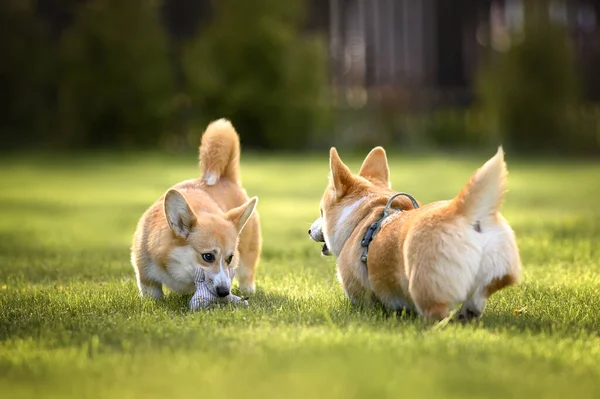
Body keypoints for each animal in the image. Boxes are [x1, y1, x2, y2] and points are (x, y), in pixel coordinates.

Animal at [130, 119, 262, 300]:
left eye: (229, 258)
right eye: (208, 257)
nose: (224, 292)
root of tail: (226, 178)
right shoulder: (147, 276)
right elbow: (152, 294)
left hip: (248, 256)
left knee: (247, 274)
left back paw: (248, 290)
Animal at [310, 147, 520, 322]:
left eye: (321, 212)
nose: (309, 230)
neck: (366, 214)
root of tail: (463, 213)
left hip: (425, 286)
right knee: (475, 301)